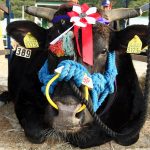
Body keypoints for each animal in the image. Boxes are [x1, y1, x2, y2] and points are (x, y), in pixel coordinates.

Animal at [0, 3, 148, 148]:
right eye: (51, 50)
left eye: (104, 51)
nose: (66, 113)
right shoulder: (24, 98)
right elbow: (37, 133)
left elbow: (121, 137)